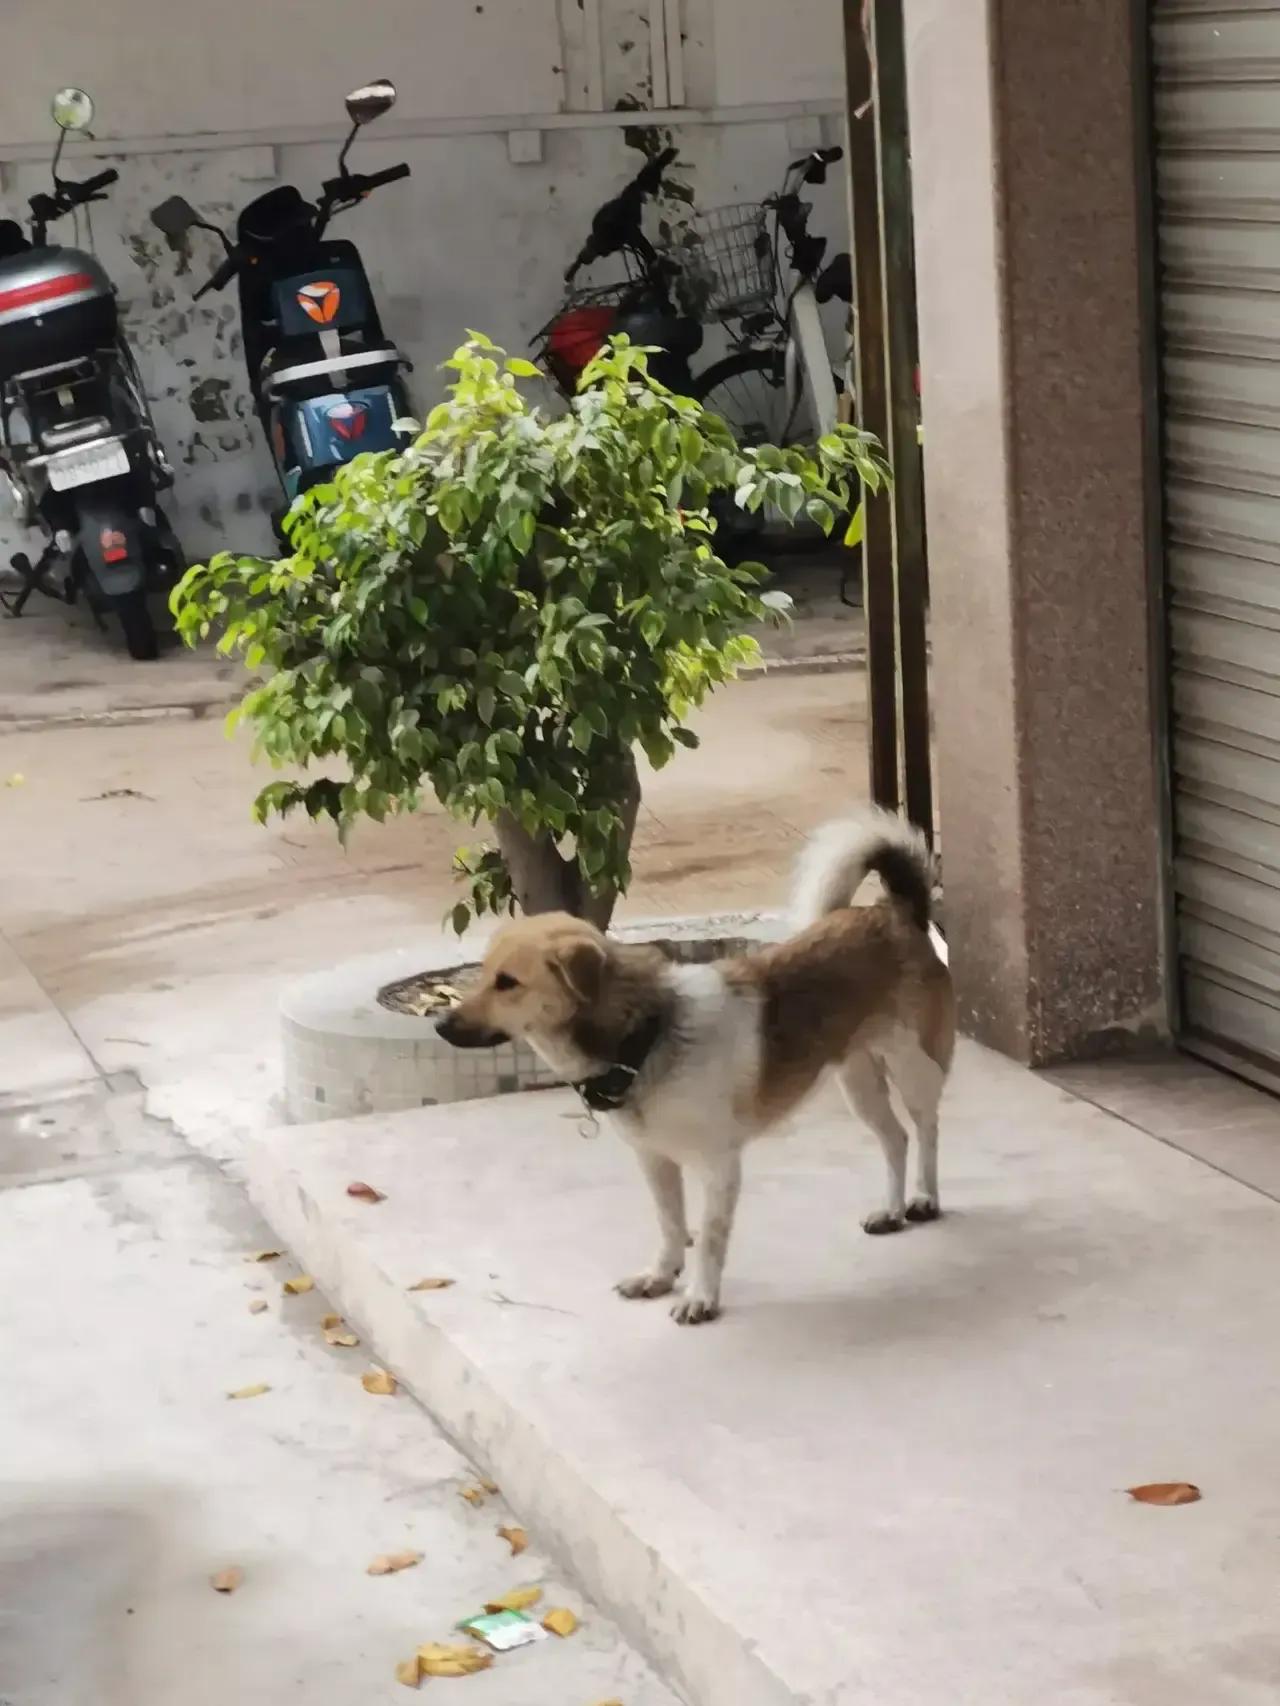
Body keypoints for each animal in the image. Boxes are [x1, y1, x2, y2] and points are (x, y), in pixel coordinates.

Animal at [440, 808, 955, 1317]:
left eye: (508, 982)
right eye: (484, 975)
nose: (442, 1025)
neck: (646, 1039)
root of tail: (899, 913)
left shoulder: (718, 1166)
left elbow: (708, 1237)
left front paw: (701, 1297)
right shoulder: (655, 1160)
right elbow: (670, 1224)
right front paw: (661, 1275)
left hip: (913, 1065)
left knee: (926, 1127)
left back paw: (924, 1197)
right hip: (857, 1079)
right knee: (895, 1138)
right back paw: (891, 1210)